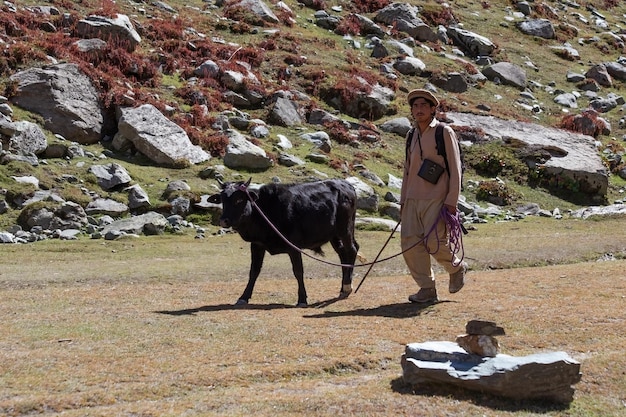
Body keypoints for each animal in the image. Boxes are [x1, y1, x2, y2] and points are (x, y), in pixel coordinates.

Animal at [207, 177, 358, 308]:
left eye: (239, 199)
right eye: (222, 200)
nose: (223, 221)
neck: (265, 210)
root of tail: (347, 185)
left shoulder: (294, 246)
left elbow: (298, 271)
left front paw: (302, 299)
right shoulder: (257, 245)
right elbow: (254, 271)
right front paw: (243, 297)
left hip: (345, 229)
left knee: (351, 250)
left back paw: (347, 287)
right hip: (334, 235)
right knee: (343, 254)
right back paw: (343, 288)